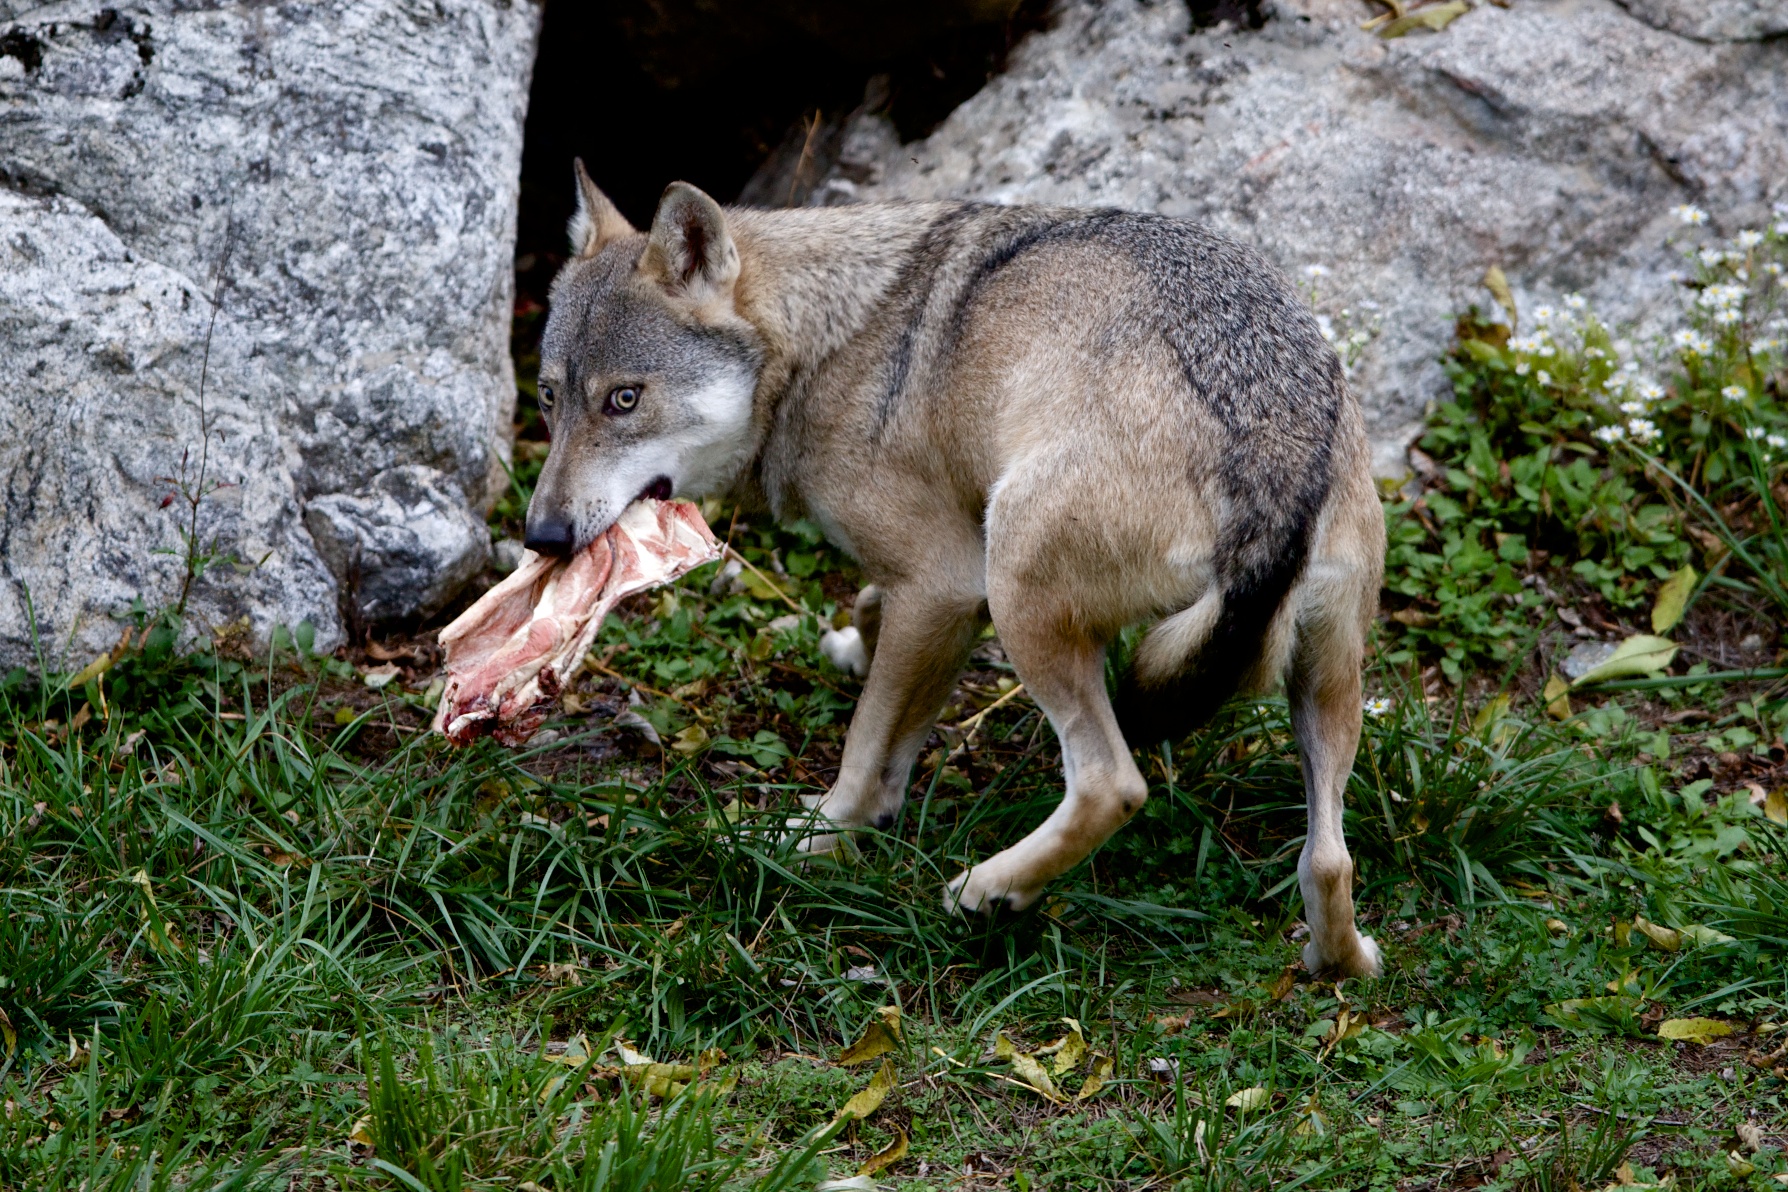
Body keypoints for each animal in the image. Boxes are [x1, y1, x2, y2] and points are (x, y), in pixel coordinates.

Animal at [525, 161, 1385, 977]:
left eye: (624, 400)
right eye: (547, 398)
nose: (543, 535)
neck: (821, 347)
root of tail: (1277, 448)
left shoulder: (945, 583)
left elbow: (864, 745)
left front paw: (815, 834)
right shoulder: (942, 592)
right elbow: (876, 638)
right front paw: (856, 673)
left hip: (1019, 594)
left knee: (1115, 784)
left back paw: (986, 890)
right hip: (1325, 683)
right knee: (1329, 860)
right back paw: (1341, 960)